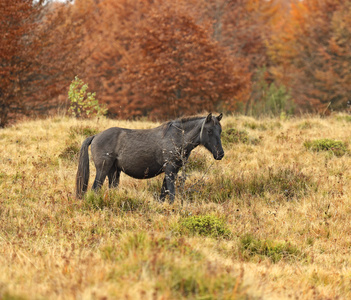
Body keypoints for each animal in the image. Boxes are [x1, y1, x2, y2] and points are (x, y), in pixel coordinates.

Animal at [76, 113, 226, 204]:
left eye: (220, 131)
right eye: (209, 131)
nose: (220, 154)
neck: (177, 137)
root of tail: (95, 136)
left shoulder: (172, 170)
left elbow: (163, 193)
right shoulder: (170, 169)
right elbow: (171, 192)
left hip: (114, 171)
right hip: (103, 170)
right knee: (95, 189)